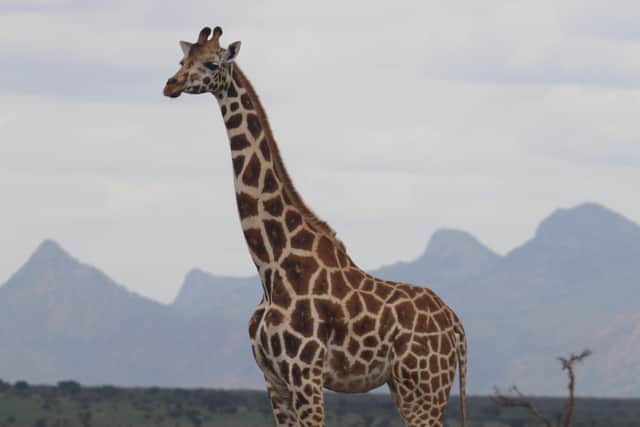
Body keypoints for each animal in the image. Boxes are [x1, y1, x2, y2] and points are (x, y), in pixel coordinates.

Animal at [164, 26, 467, 427]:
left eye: (212, 63)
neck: (270, 264)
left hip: (425, 385)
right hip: (408, 387)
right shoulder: (274, 380)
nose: (171, 84)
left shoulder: (305, 374)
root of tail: (455, 324)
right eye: (183, 59)